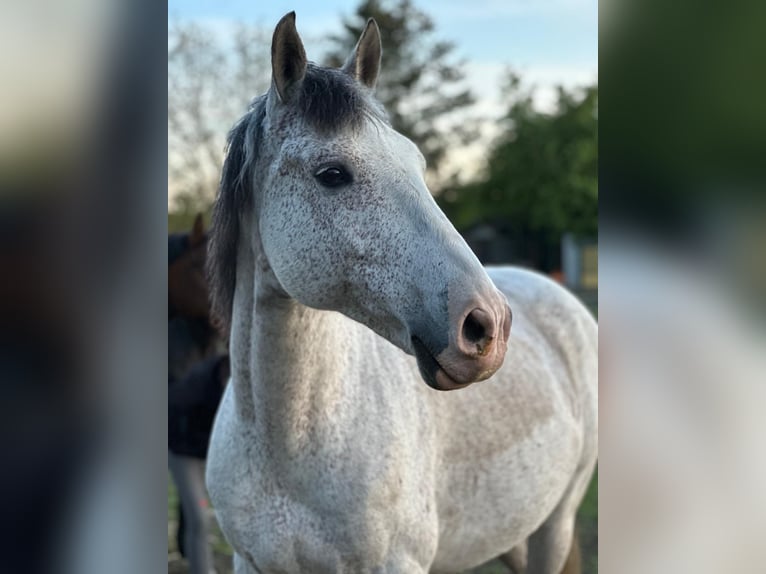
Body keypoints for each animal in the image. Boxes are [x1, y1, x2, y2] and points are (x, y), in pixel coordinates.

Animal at [205, 12, 597, 574]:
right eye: (332, 174)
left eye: (417, 163)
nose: (488, 325)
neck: (286, 444)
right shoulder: (249, 560)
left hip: (556, 525)